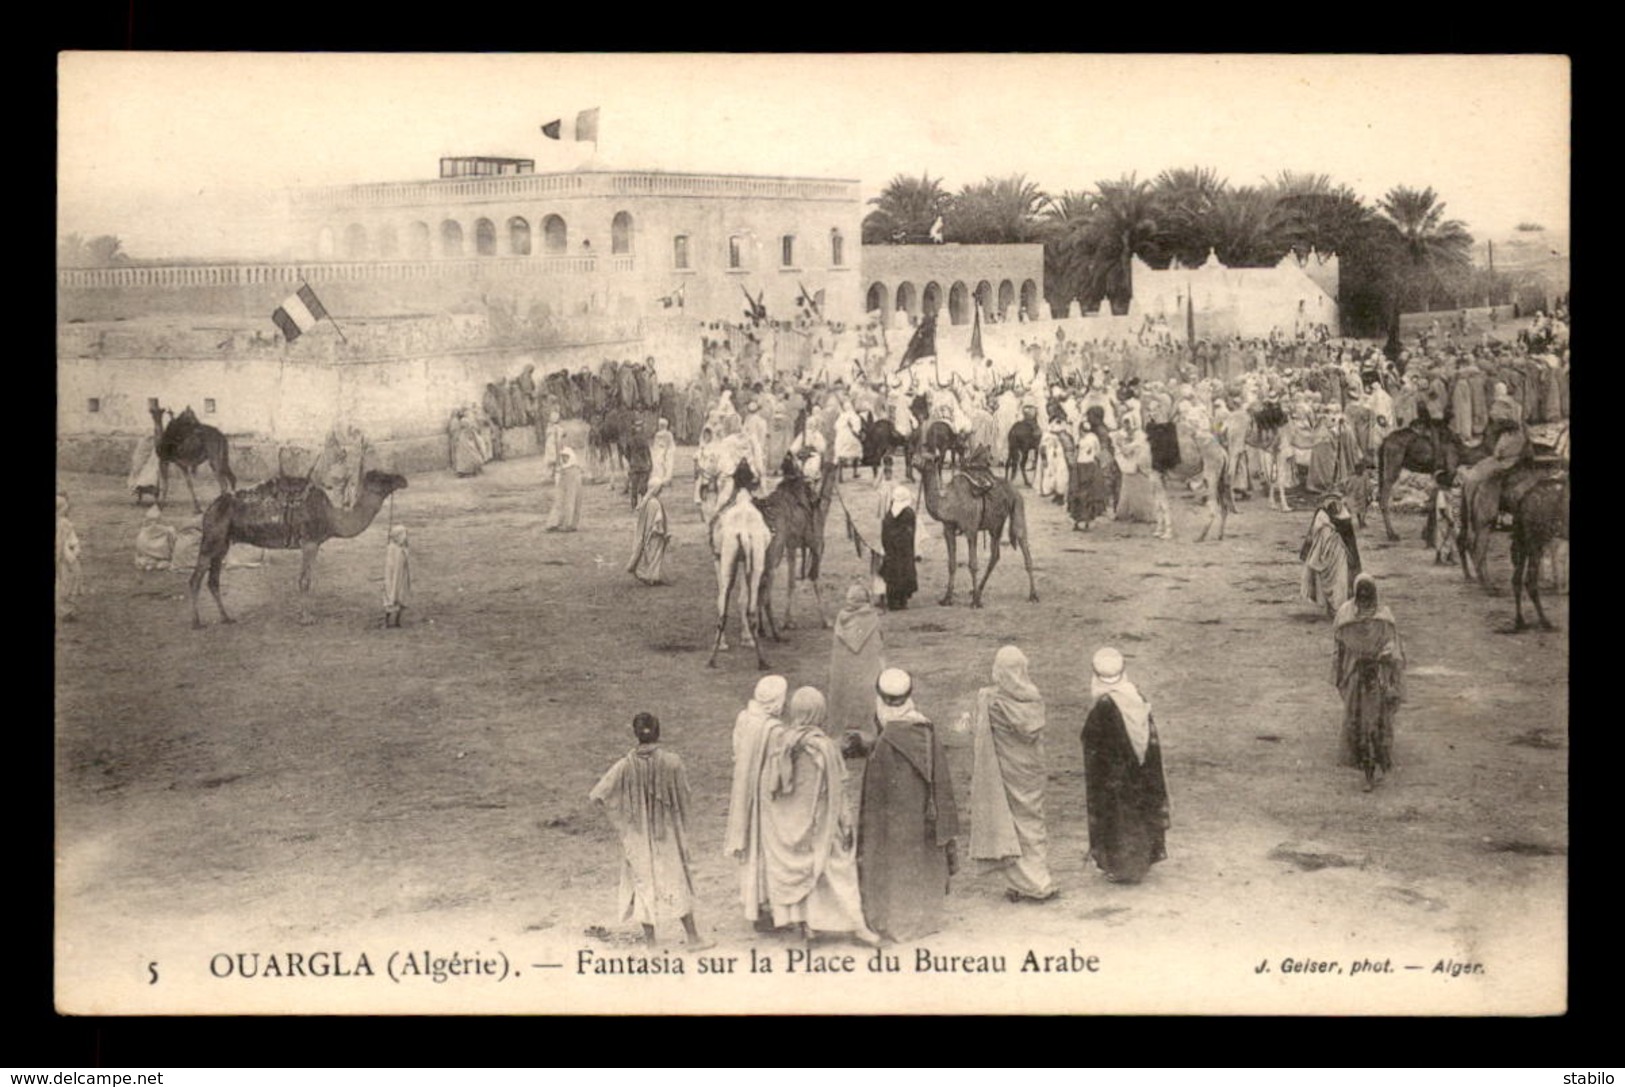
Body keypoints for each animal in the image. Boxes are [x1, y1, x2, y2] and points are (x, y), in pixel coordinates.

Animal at [188, 467, 406, 627]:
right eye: (384, 478)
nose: (403, 479)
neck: (332, 518)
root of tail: (210, 509)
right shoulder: (309, 542)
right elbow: (304, 580)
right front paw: (306, 618)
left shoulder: (313, 543)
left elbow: (307, 579)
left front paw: (306, 615)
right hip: (211, 540)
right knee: (195, 579)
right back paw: (197, 622)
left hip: (222, 544)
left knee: (213, 581)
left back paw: (227, 618)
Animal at [916, 445, 1040, 607]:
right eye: (919, 454)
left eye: (929, 458)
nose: (914, 460)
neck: (950, 504)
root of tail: (1014, 489)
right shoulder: (948, 529)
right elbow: (952, 564)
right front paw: (947, 598)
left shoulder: (971, 529)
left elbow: (973, 564)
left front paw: (975, 602)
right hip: (995, 526)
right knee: (995, 556)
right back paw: (979, 591)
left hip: (1018, 506)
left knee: (1023, 545)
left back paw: (1033, 595)